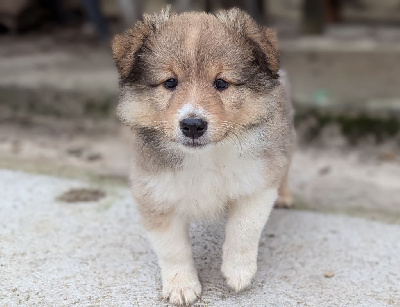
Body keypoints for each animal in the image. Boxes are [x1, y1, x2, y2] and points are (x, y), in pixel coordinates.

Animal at [111, 6, 296, 306]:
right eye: (170, 82)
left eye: (221, 83)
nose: (193, 125)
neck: (204, 158)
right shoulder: (154, 194)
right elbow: (173, 248)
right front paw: (181, 286)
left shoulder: (256, 181)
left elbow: (244, 229)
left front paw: (238, 272)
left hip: (286, 138)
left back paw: (287, 196)